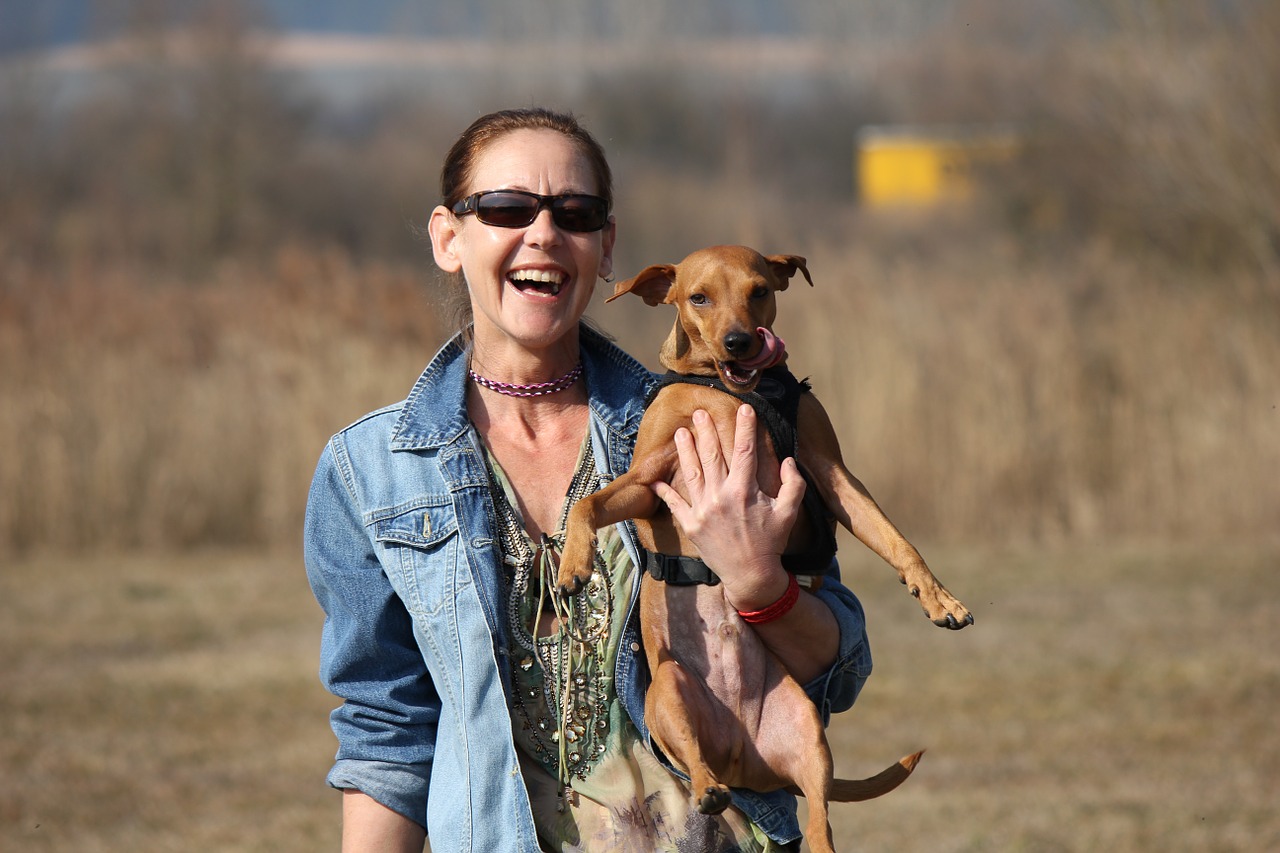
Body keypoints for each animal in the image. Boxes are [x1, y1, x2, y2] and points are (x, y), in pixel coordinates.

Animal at [555, 242, 962, 845]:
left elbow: (895, 539)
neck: (731, 394)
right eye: (698, 297)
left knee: (819, 821)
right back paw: (706, 788)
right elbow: (588, 502)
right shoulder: (646, 480)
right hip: (666, 694)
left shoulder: (832, 475)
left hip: (808, 733)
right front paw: (571, 566)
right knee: (696, 759)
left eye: (760, 291)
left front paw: (940, 599)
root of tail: (739, 754)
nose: (739, 342)